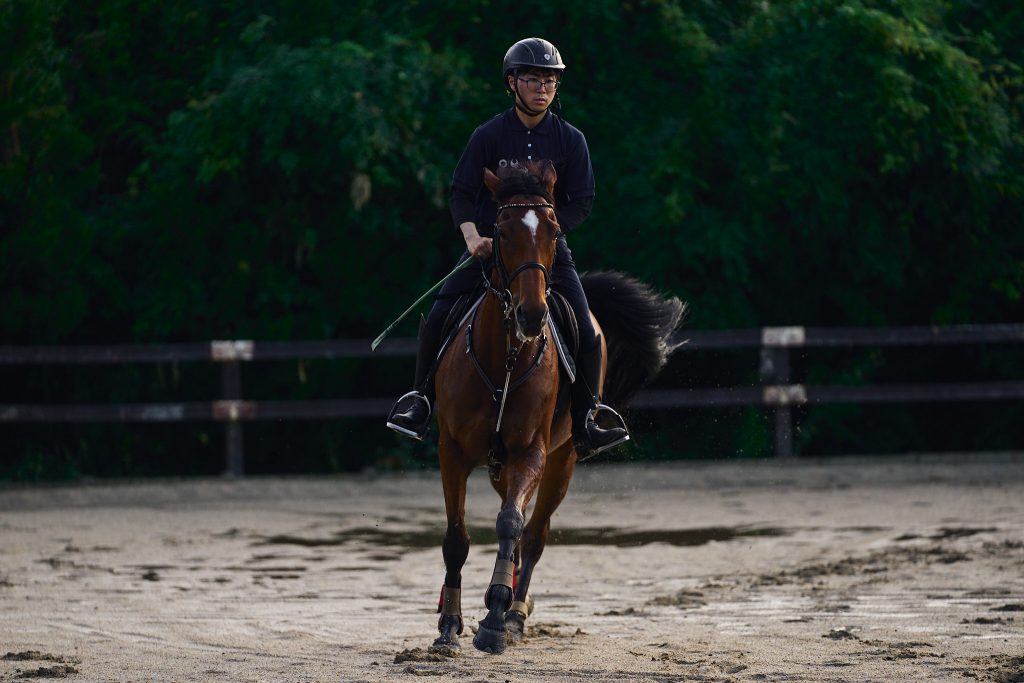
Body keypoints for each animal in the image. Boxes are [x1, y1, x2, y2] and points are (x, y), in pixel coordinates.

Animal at [429, 159, 685, 655]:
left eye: (552, 231)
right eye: (501, 230)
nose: (531, 314)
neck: (505, 358)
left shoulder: (533, 452)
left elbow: (512, 525)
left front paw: (494, 621)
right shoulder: (452, 451)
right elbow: (456, 538)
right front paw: (449, 626)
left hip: (561, 460)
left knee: (534, 534)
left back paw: (514, 613)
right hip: (502, 468)